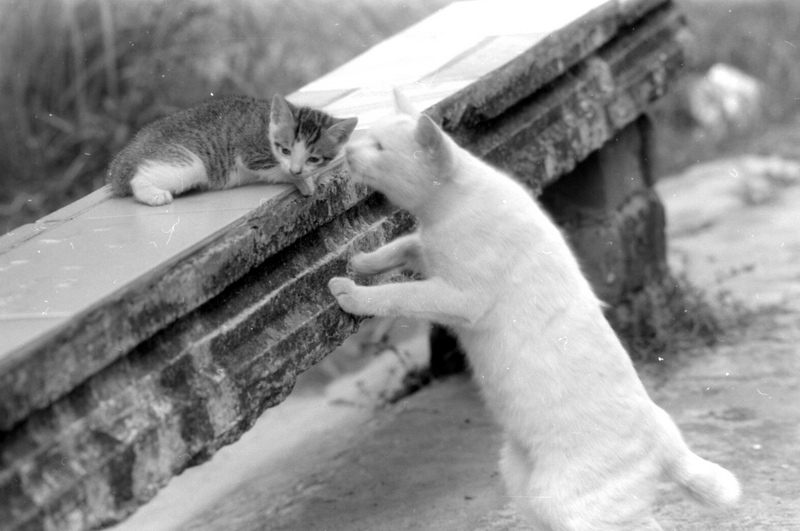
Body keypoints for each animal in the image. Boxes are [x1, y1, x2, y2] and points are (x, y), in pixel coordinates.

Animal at [108, 94, 358, 206]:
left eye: (313, 158)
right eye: (285, 150)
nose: (297, 170)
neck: (268, 128)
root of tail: (127, 154)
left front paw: (307, 176)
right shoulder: (250, 153)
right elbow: (274, 169)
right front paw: (302, 181)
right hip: (191, 163)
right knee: (138, 179)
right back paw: (154, 194)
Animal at [328, 89, 740, 528]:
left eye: (378, 147)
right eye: (368, 137)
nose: (347, 151)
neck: (449, 204)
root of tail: (666, 438)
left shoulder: (457, 297)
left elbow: (402, 294)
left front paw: (351, 292)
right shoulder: (430, 257)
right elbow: (404, 246)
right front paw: (362, 262)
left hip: (569, 503)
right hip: (523, 484)